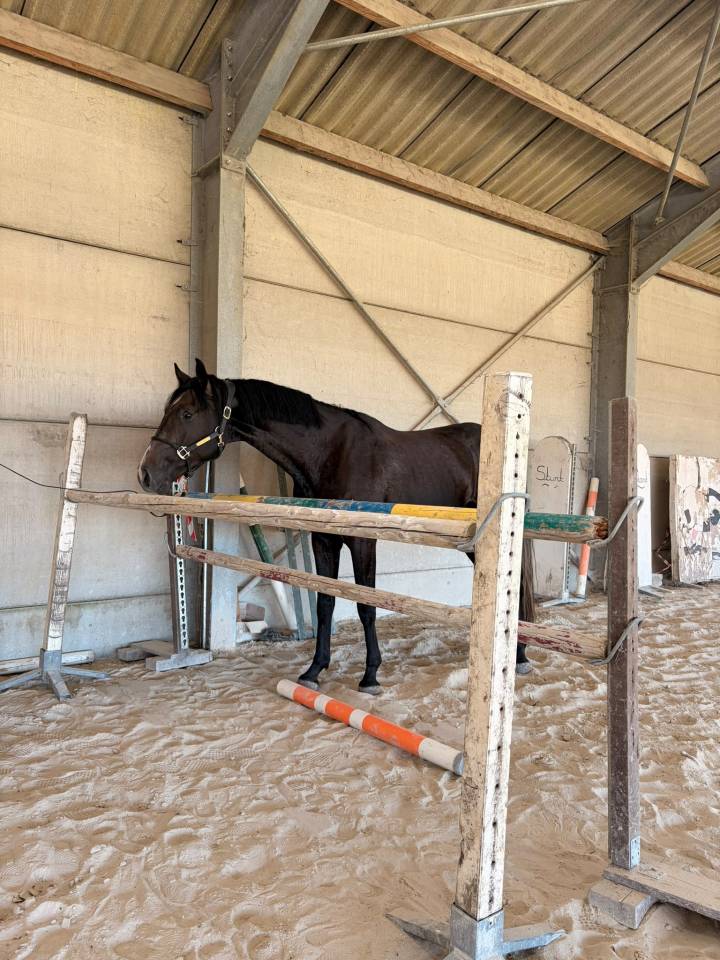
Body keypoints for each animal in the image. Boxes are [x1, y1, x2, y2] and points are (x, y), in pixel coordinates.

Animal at [138, 359, 535, 691]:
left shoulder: (362, 541)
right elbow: (325, 603)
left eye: (187, 412)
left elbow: (365, 606)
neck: (330, 452)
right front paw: (314, 670)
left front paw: (370, 675)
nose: (146, 473)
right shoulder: (323, 540)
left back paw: (519, 656)